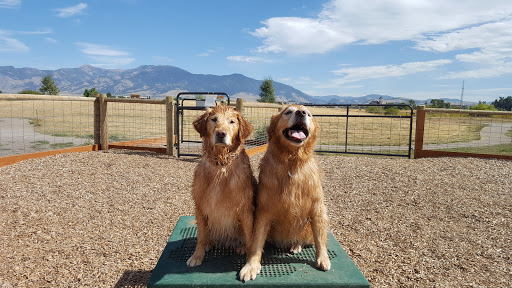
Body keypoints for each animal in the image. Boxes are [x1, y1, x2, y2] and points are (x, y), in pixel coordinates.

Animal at [186, 104, 256, 266]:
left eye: (232, 122)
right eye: (213, 119)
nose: (221, 133)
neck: (220, 164)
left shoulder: (245, 209)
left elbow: (250, 237)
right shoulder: (200, 207)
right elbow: (200, 237)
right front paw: (197, 256)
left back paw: (241, 246)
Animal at [241, 104, 332, 282]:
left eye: (309, 114)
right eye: (288, 112)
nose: (301, 112)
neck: (292, 162)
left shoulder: (317, 208)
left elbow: (320, 238)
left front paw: (323, 258)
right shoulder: (264, 210)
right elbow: (256, 242)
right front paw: (251, 266)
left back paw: (296, 245)